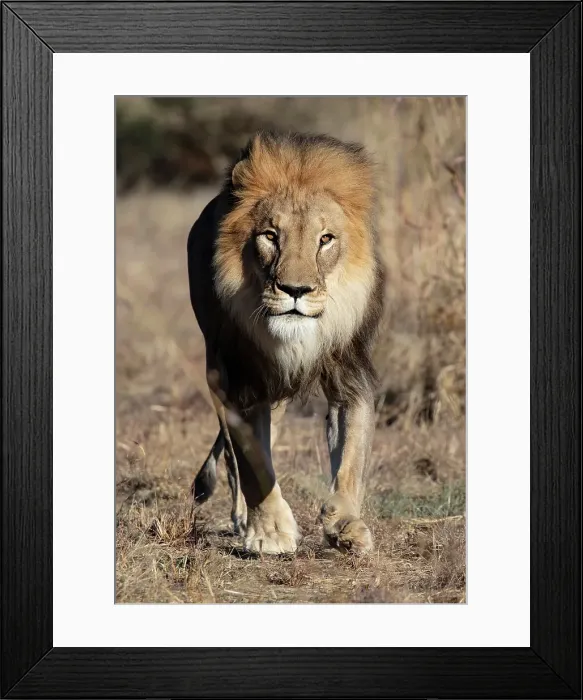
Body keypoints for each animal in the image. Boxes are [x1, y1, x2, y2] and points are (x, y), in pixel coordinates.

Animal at [187, 131, 384, 555]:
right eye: (270, 236)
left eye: (325, 240)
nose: (295, 290)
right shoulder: (238, 381)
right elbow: (253, 465)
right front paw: (270, 532)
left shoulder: (350, 374)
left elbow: (351, 459)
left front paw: (344, 524)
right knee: (233, 460)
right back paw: (243, 519)